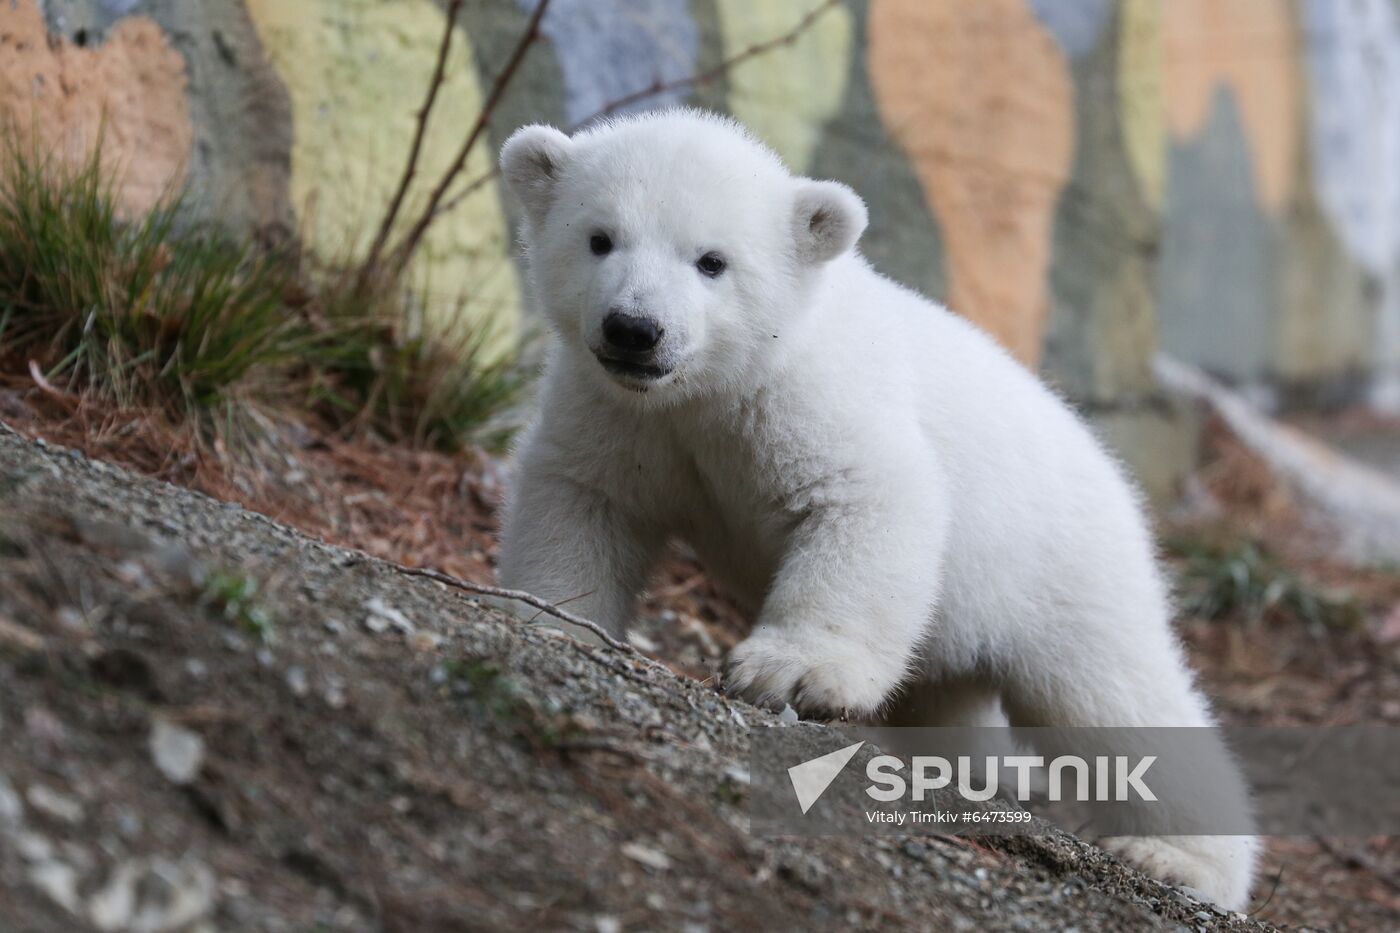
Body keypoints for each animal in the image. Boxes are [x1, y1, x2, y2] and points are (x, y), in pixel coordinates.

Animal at [501, 109, 1260, 907]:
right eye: (600, 238)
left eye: (711, 261)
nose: (634, 329)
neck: (711, 388)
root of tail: (1115, 475)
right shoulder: (620, 415)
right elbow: (581, 498)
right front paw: (550, 618)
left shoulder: (810, 396)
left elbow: (869, 498)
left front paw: (790, 673)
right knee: (949, 696)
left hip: (1066, 566)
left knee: (1113, 699)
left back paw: (1177, 857)